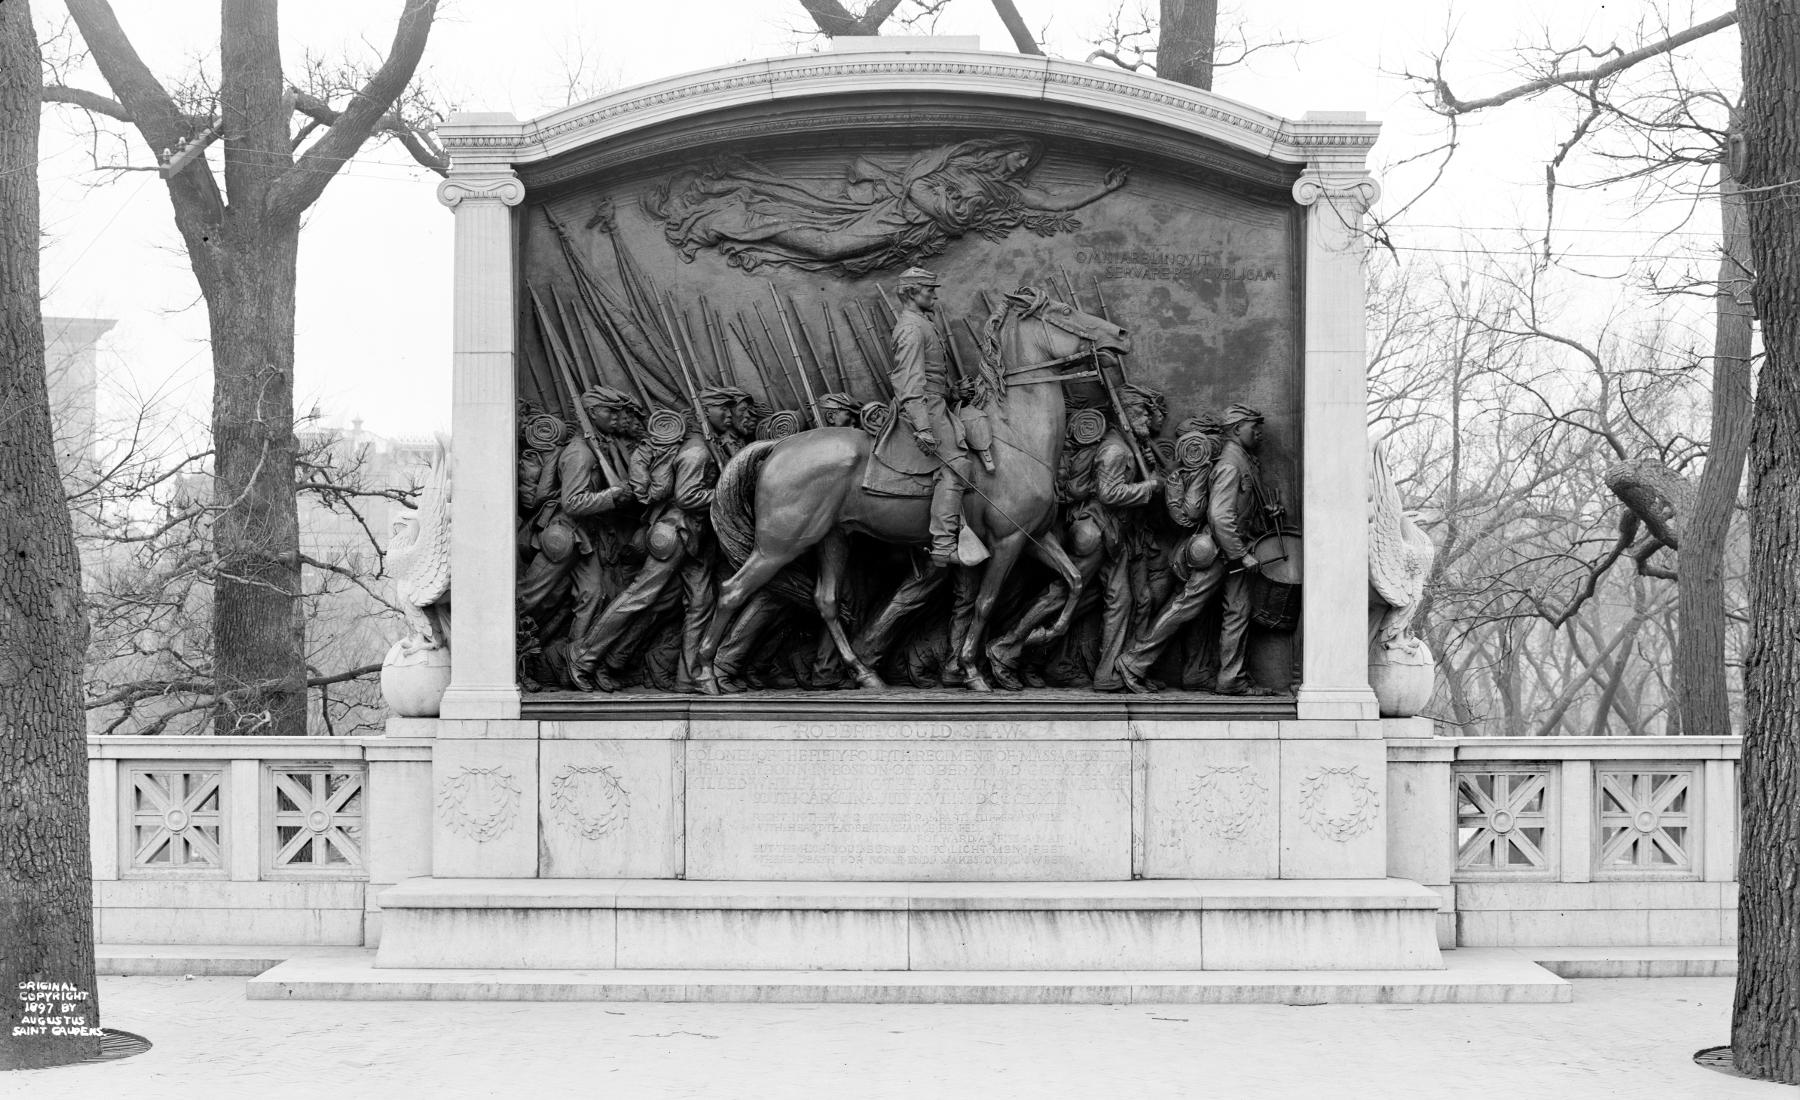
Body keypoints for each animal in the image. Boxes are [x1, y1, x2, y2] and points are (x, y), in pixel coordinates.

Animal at [694, 288, 1130, 691]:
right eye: (1066, 311)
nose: (1123, 335)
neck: (1015, 438)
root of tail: (779, 446)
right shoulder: (1007, 541)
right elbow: (985, 604)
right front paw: (973, 671)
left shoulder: (1035, 536)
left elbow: (1073, 580)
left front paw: (1040, 636)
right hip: (780, 544)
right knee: (732, 591)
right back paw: (706, 674)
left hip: (832, 538)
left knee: (825, 601)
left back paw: (865, 674)